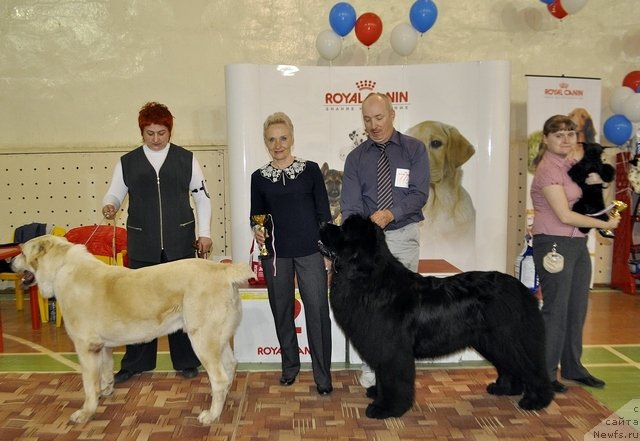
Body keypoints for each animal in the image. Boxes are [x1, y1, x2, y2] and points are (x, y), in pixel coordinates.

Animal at [12, 235, 252, 424]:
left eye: (22, 251)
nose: (10, 261)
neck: (61, 268)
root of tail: (222, 269)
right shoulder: (102, 346)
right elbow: (106, 370)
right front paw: (106, 390)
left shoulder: (86, 347)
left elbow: (88, 384)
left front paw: (86, 412)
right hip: (218, 338)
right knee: (230, 366)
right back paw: (223, 402)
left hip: (202, 340)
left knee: (219, 378)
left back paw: (211, 415)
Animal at [318, 215, 552, 418]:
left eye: (343, 229)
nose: (322, 222)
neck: (369, 279)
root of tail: (522, 290)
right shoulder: (383, 347)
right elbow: (383, 377)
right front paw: (378, 394)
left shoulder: (393, 349)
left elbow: (393, 379)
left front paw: (386, 408)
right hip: (492, 340)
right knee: (509, 365)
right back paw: (504, 388)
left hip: (508, 338)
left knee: (531, 366)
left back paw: (537, 400)